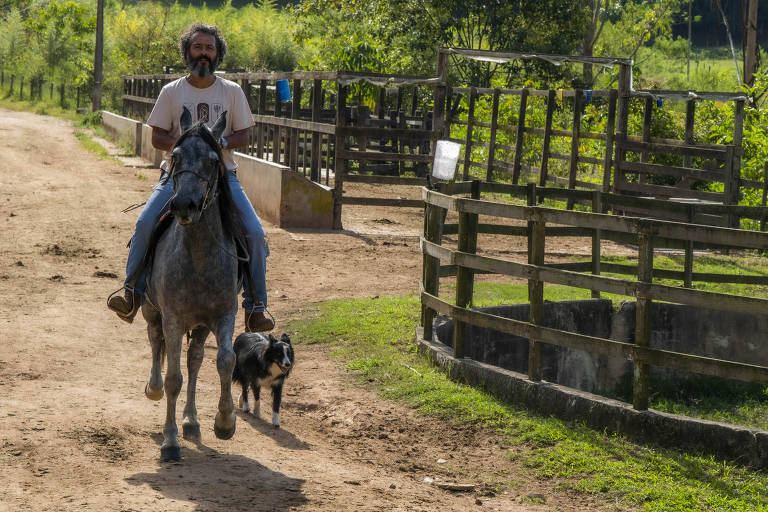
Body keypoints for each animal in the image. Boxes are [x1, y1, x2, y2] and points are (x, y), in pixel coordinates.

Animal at [142, 107, 238, 460]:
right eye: (176, 155)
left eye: (212, 160)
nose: (184, 205)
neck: (198, 256)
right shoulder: (172, 317)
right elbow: (173, 377)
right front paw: (170, 442)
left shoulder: (223, 315)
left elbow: (225, 361)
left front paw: (224, 422)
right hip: (151, 309)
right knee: (155, 342)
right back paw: (153, 388)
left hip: (200, 325)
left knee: (195, 359)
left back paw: (192, 421)